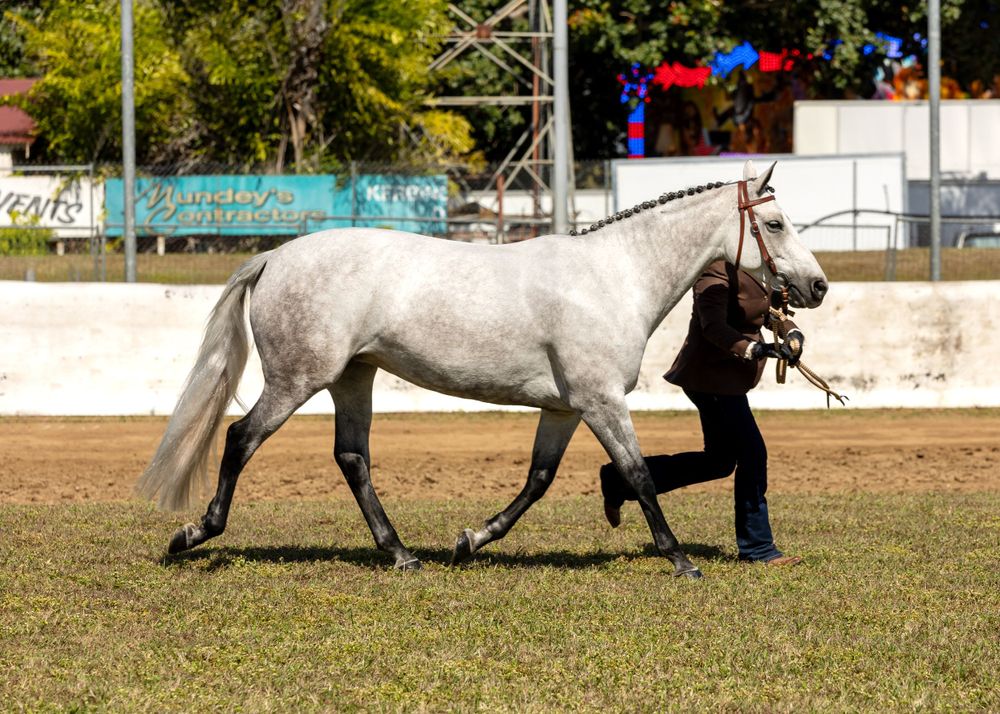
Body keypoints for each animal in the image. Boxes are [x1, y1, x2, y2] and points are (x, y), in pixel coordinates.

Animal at [137, 160, 828, 578]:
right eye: (773, 223)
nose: (817, 286)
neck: (613, 277)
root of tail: (276, 256)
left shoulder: (563, 408)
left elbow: (540, 480)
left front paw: (472, 539)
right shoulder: (601, 400)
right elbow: (637, 474)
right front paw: (680, 560)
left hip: (352, 378)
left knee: (352, 458)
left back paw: (401, 554)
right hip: (297, 379)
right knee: (240, 438)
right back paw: (193, 535)